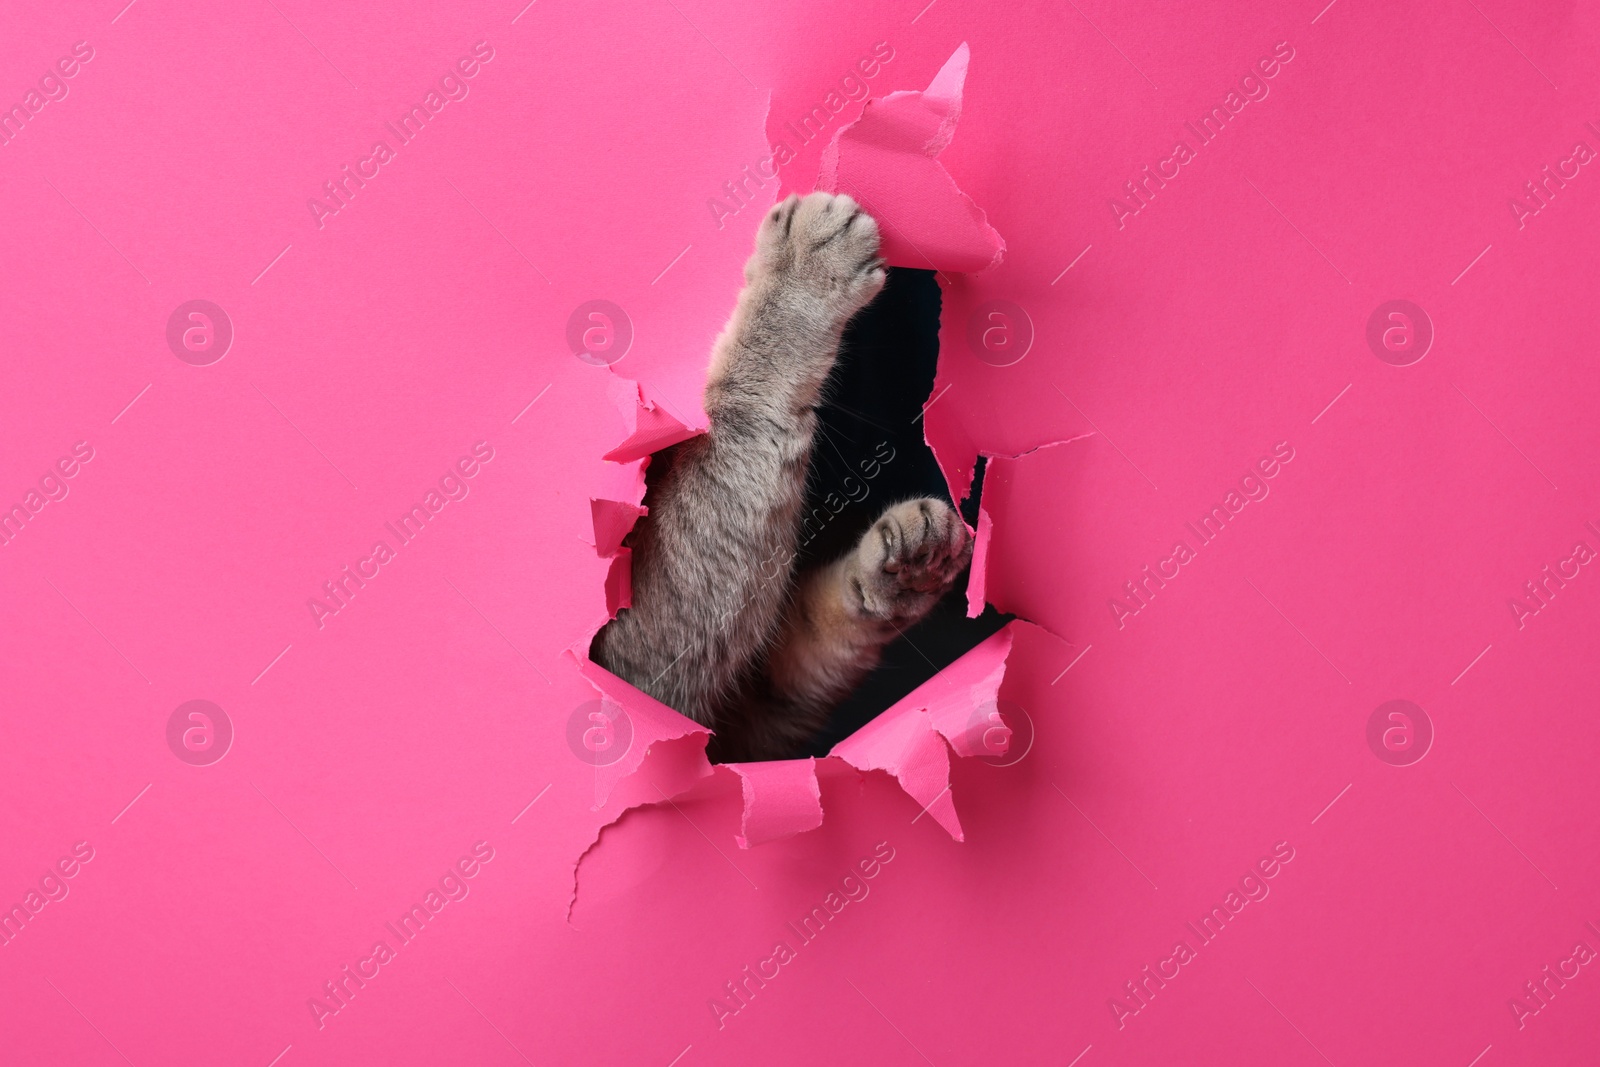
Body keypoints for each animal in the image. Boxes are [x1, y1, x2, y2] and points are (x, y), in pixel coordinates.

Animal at [595, 189, 966, 758]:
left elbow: (811, 646)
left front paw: (906, 569)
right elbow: (746, 403)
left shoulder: (751, 726)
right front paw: (801, 275)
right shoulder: (656, 653)